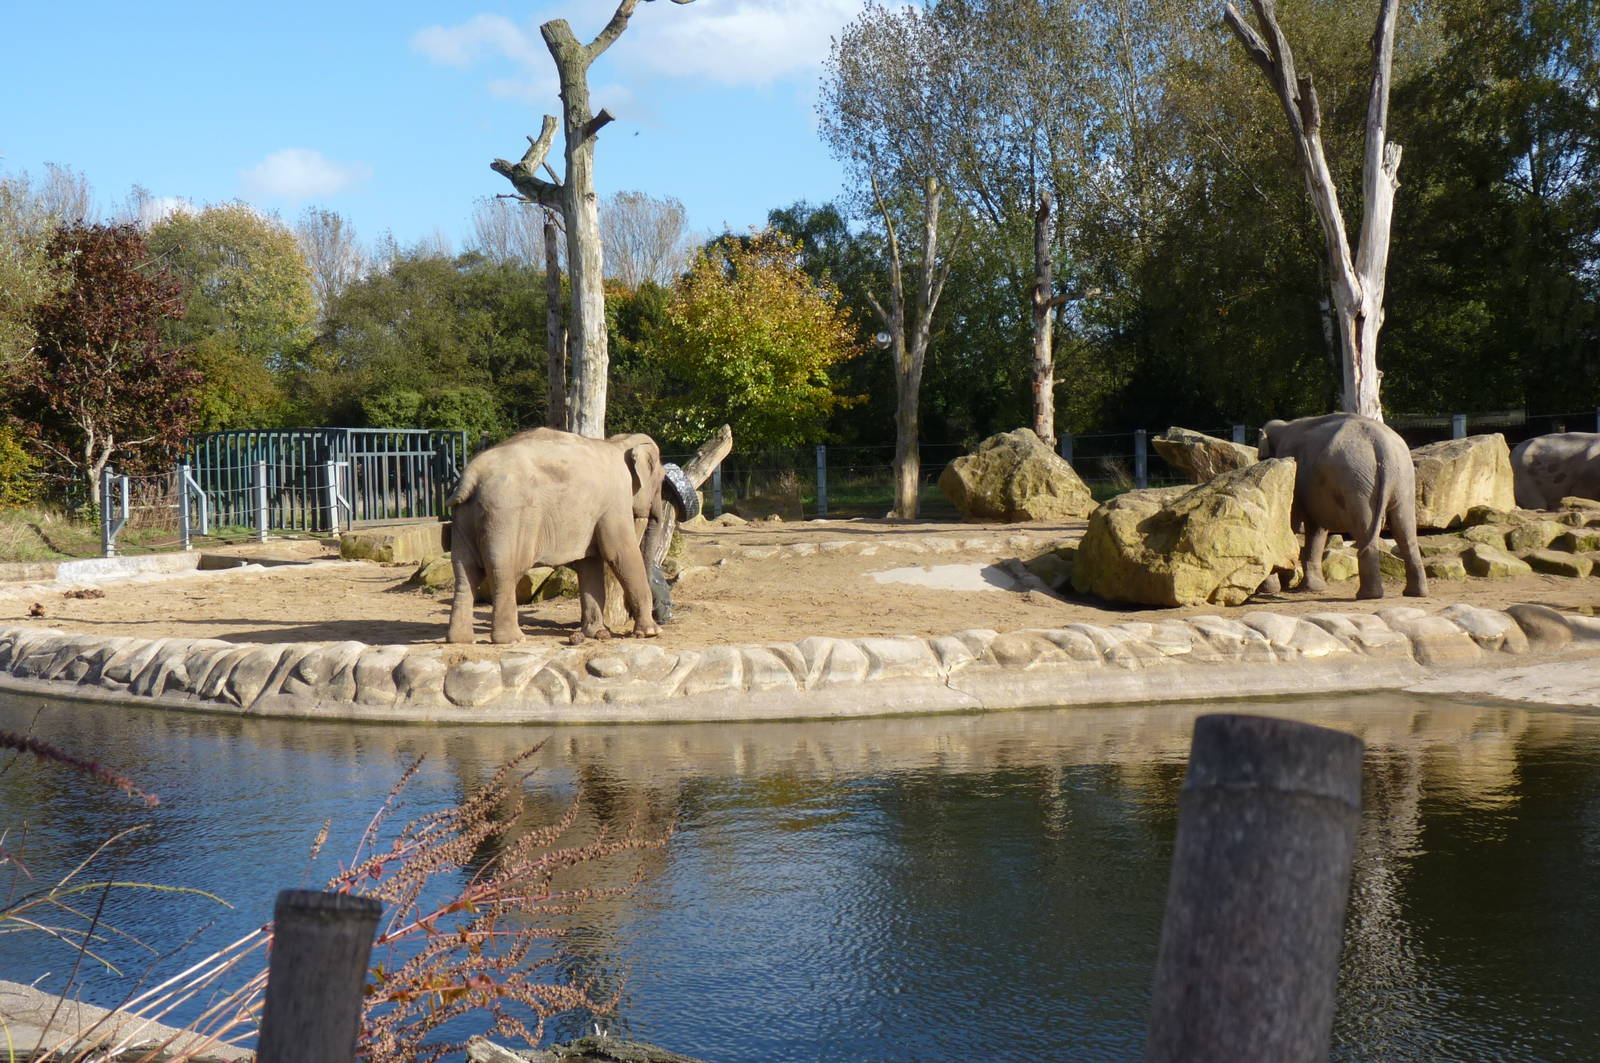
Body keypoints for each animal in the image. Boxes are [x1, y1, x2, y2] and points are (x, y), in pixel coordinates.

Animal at [445, 428, 695, 645]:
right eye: (660, 479)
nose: (662, 616)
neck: (618, 443)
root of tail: (471, 475)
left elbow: (590, 563)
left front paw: (598, 633)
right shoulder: (615, 500)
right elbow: (619, 553)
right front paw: (652, 632)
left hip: (465, 516)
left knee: (465, 572)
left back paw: (462, 640)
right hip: (506, 515)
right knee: (504, 571)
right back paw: (513, 640)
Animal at [1257, 412, 1427, 600]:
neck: (1284, 425)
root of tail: (1383, 446)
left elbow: (1288, 524)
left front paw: (1267, 590)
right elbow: (1316, 529)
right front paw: (1313, 589)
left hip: (1358, 484)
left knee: (1366, 530)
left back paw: (1368, 595)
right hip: (1402, 480)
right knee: (1404, 531)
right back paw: (1414, 593)